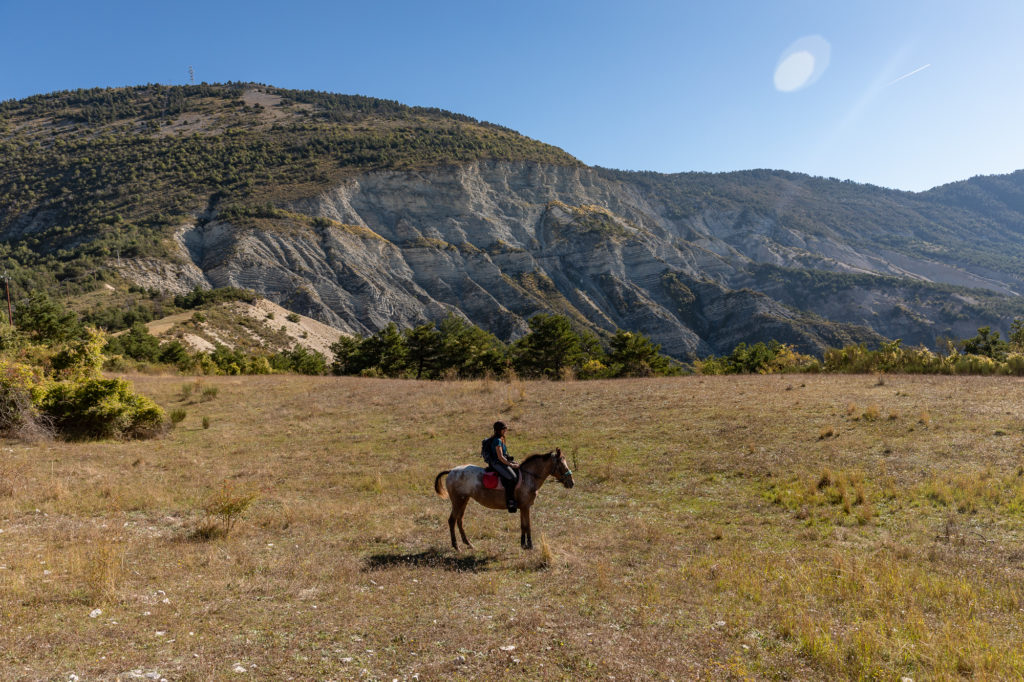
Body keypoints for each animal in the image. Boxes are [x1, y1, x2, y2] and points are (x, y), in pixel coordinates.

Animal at [434, 444, 577, 548]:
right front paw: (530, 546)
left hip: (464, 500)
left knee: (459, 520)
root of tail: (452, 471)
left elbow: (523, 525)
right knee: (452, 520)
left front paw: (523, 544)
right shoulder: (526, 507)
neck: (528, 477)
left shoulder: (523, 507)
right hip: (457, 500)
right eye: (562, 465)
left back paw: (468, 544)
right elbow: (528, 525)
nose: (571, 483)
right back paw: (456, 546)